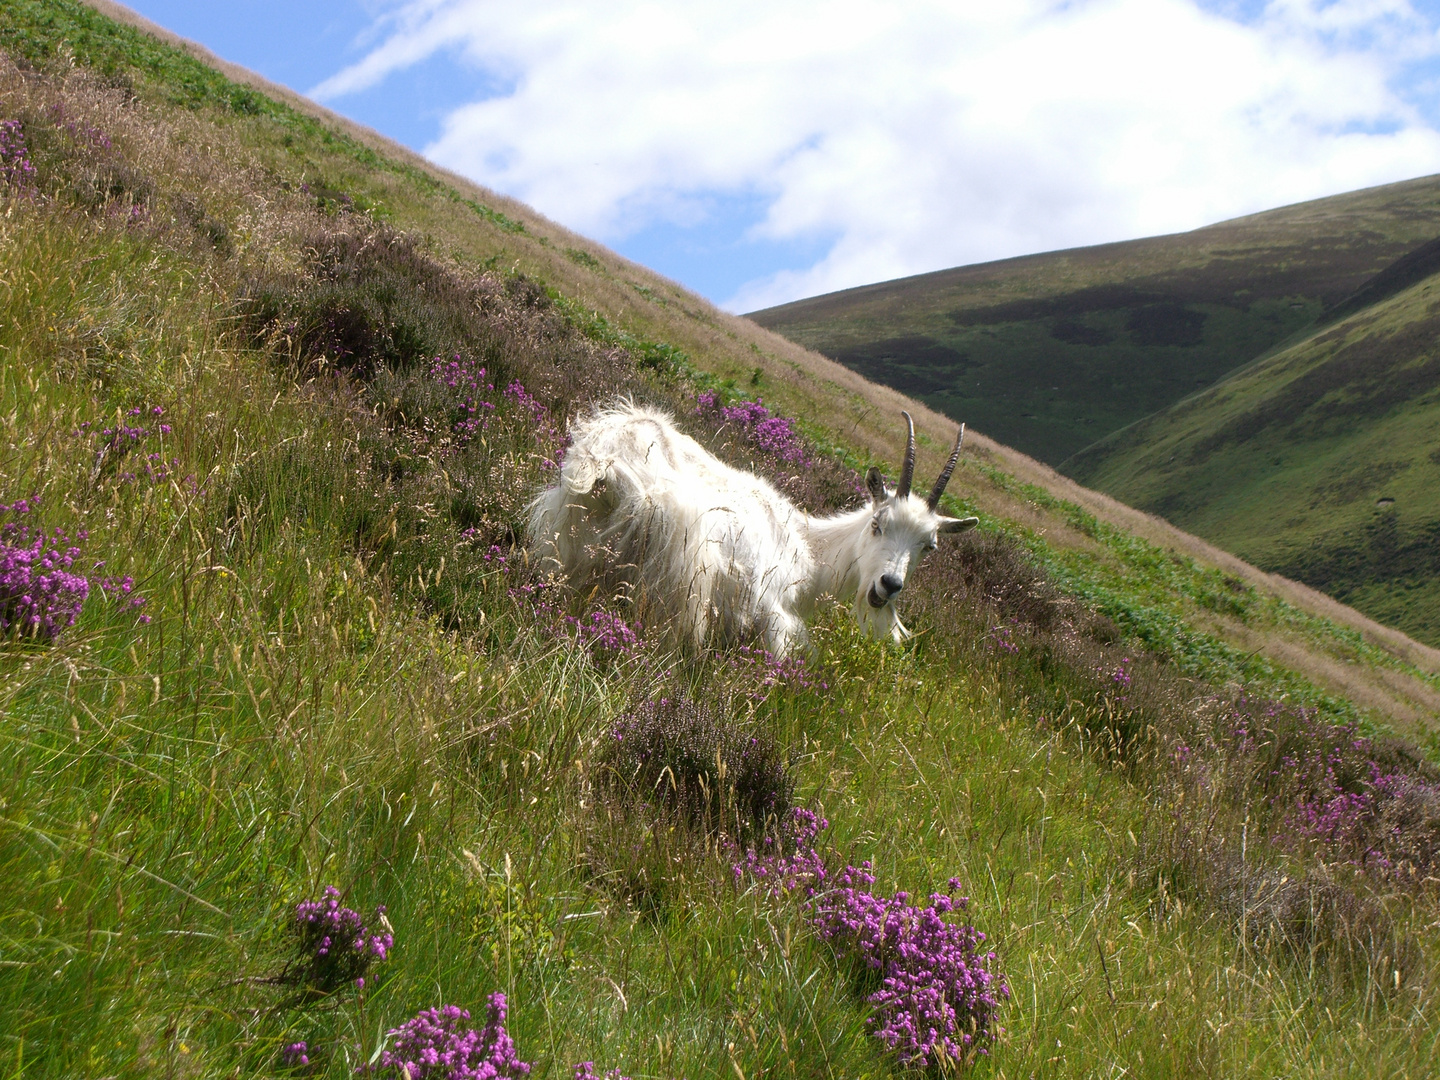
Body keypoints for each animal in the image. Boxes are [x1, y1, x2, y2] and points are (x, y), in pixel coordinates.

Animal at [524, 403, 973, 656]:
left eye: (929, 546)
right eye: (878, 525)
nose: (888, 585)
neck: (809, 548)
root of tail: (603, 463)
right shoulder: (772, 615)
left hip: (570, 547)